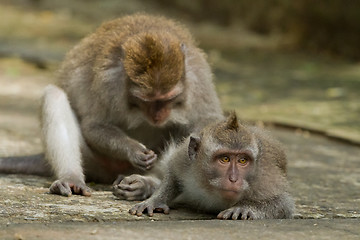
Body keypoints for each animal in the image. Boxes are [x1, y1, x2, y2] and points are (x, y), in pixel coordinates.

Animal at [0, 13, 224, 199]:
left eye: (169, 98)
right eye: (145, 101)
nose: (158, 117)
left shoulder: (198, 76)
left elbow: (206, 121)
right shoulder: (109, 82)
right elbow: (95, 125)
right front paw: (133, 150)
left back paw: (147, 184)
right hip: (98, 163)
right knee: (53, 95)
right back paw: (71, 177)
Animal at [129, 112, 296, 219]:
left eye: (242, 160)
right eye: (225, 159)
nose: (233, 179)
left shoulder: (265, 179)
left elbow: (283, 205)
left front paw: (244, 208)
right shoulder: (185, 160)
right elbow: (173, 172)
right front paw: (155, 200)